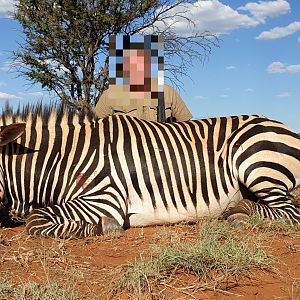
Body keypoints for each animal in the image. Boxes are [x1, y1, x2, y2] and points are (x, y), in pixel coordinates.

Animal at [0, 105, 298, 239]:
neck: (64, 159)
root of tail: (285, 127)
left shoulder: (104, 198)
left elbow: (35, 221)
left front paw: (101, 227)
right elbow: (36, 217)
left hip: (255, 163)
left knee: (289, 212)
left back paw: (238, 212)